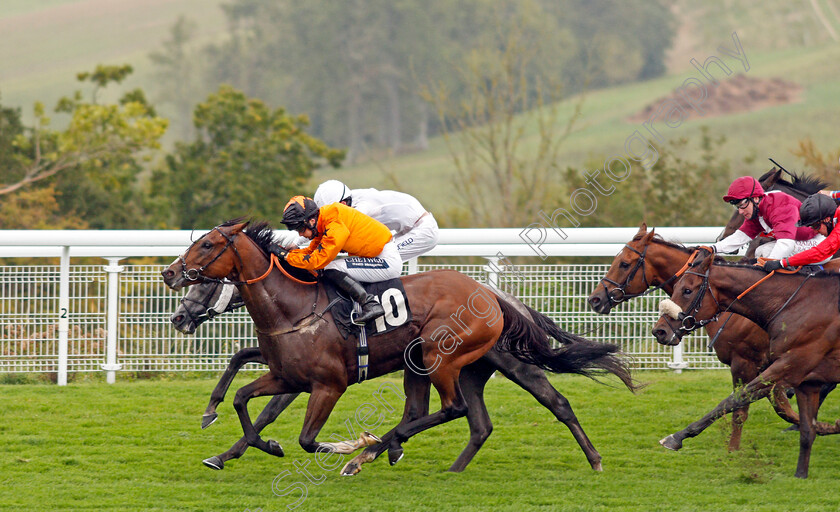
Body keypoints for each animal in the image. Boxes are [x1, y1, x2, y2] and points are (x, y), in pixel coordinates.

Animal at [161, 220, 636, 476]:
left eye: (207, 245)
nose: (170, 275)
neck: (293, 306)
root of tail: (490, 294)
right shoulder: (286, 374)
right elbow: (244, 399)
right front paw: (230, 439)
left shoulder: (328, 385)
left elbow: (306, 438)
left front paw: (348, 447)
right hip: (456, 366)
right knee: (474, 420)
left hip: (445, 357)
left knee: (482, 407)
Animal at [588, 226, 836, 450]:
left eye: (624, 263)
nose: (595, 299)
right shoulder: (774, 365)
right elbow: (777, 403)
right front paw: (820, 426)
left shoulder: (747, 362)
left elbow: (741, 407)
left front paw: (732, 450)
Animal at [656, 250, 840, 478]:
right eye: (676, 287)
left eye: (687, 290)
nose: (659, 331)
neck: (799, 303)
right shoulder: (804, 379)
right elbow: (804, 425)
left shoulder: (784, 364)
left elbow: (735, 400)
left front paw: (678, 437)